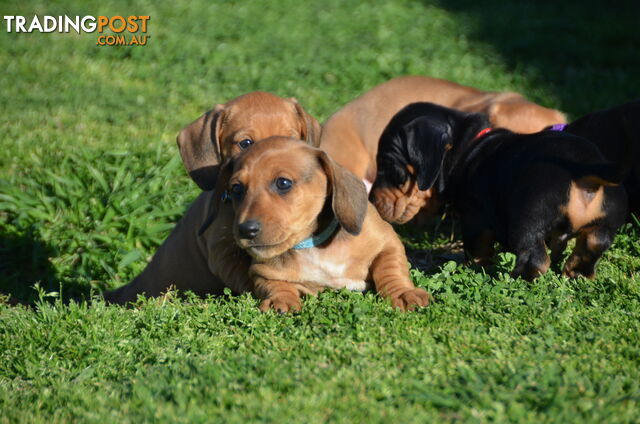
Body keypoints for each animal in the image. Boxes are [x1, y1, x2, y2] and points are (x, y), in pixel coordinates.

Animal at [212, 137, 432, 314]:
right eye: (236, 189)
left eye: (283, 183)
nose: (245, 230)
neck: (313, 245)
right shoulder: (261, 272)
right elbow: (274, 285)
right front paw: (279, 299)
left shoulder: (387, 241)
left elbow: (390, 269)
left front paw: (403, 293)